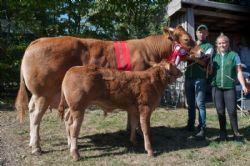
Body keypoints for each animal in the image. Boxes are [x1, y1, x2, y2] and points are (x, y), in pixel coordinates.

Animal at [14, 25, 200, 155]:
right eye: (186, 39)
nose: (201, 52)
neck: (149, 51)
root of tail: (38, 40)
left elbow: (131, 113)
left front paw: (131, 131)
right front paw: (138, 133)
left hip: (42, 95)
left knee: (33, 111)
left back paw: (36, 142)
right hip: (43, 94)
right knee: (36, 116)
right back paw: (36, 147)